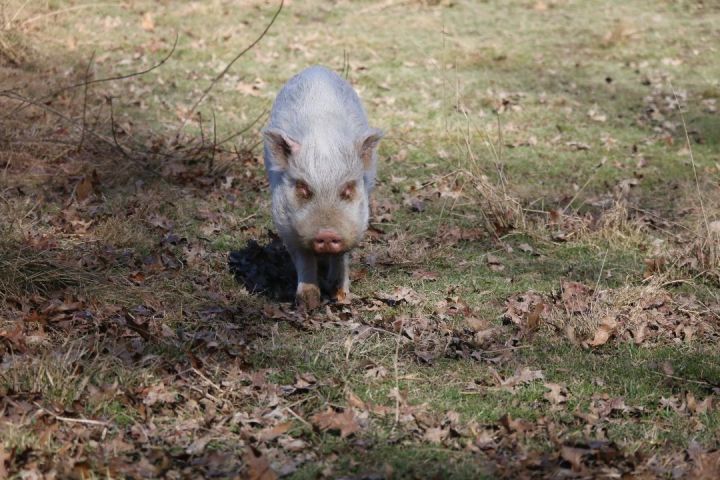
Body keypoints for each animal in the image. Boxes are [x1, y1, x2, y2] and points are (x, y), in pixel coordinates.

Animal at [260, 65, 382, 310]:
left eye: (347, 189)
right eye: (303, 188)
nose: (326, 234)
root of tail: (316, 69)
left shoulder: (357, 224)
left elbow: (342, 257)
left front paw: (340, 296)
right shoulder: (285, 226)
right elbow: (304, 260)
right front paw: (308, 304)